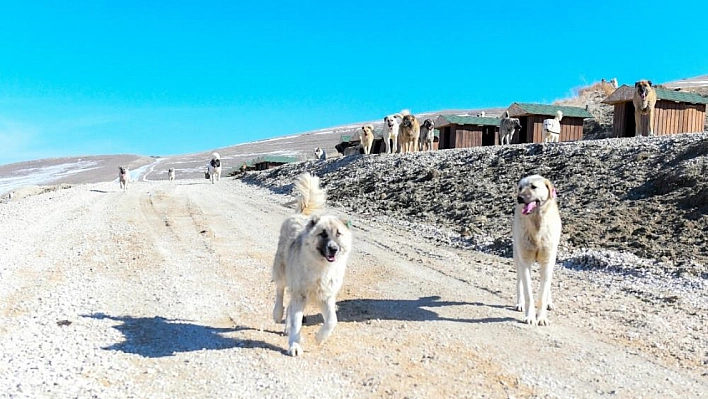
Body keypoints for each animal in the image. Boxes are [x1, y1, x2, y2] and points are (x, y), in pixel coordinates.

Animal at [272, 173, 352, 358]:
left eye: (338, 234)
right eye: (323, 234)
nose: (333, 249)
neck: (321, 268)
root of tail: (300, 214)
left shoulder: (326, 296)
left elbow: (332, 320)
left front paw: (319, 338)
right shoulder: (300, 293)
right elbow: (297, 322)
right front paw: (294, 345)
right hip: (282, 270)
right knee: (280, 291)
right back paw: (277, 313)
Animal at [512, 173, 560, 326]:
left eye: (533, 186)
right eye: (520, 187)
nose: (519, 198)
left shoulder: (547, 261)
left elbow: (543, 294)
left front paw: (542, 317)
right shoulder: (525, 262)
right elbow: (528, 294)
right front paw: (530, 317)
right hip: (518, 257)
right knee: (519, 282)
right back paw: (519, 303)